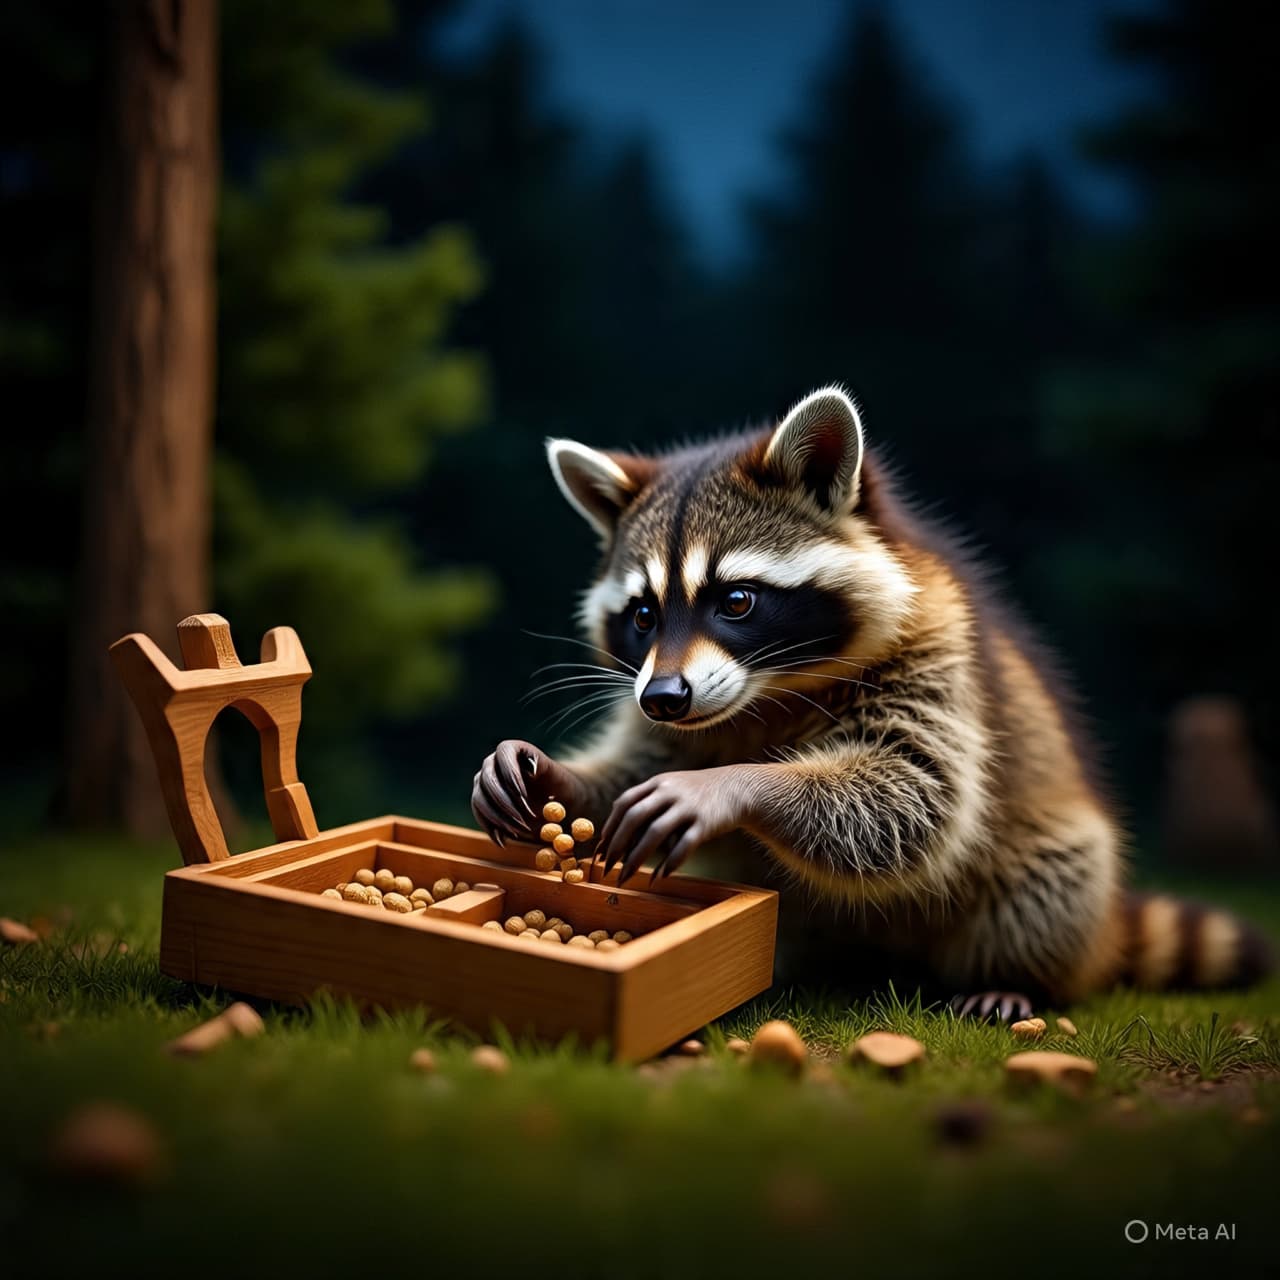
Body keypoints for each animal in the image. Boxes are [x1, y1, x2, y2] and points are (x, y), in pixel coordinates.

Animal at [472, 387, 1271, 1015]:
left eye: (736, 601)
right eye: (642, 615)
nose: (665, 696)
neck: (762, 695)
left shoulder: (938, 650)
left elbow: (915, 791)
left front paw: (732, 784)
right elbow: (633, 766)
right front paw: (552, 772)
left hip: (1053, 857)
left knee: (1052, 874)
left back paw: (1016, 976)